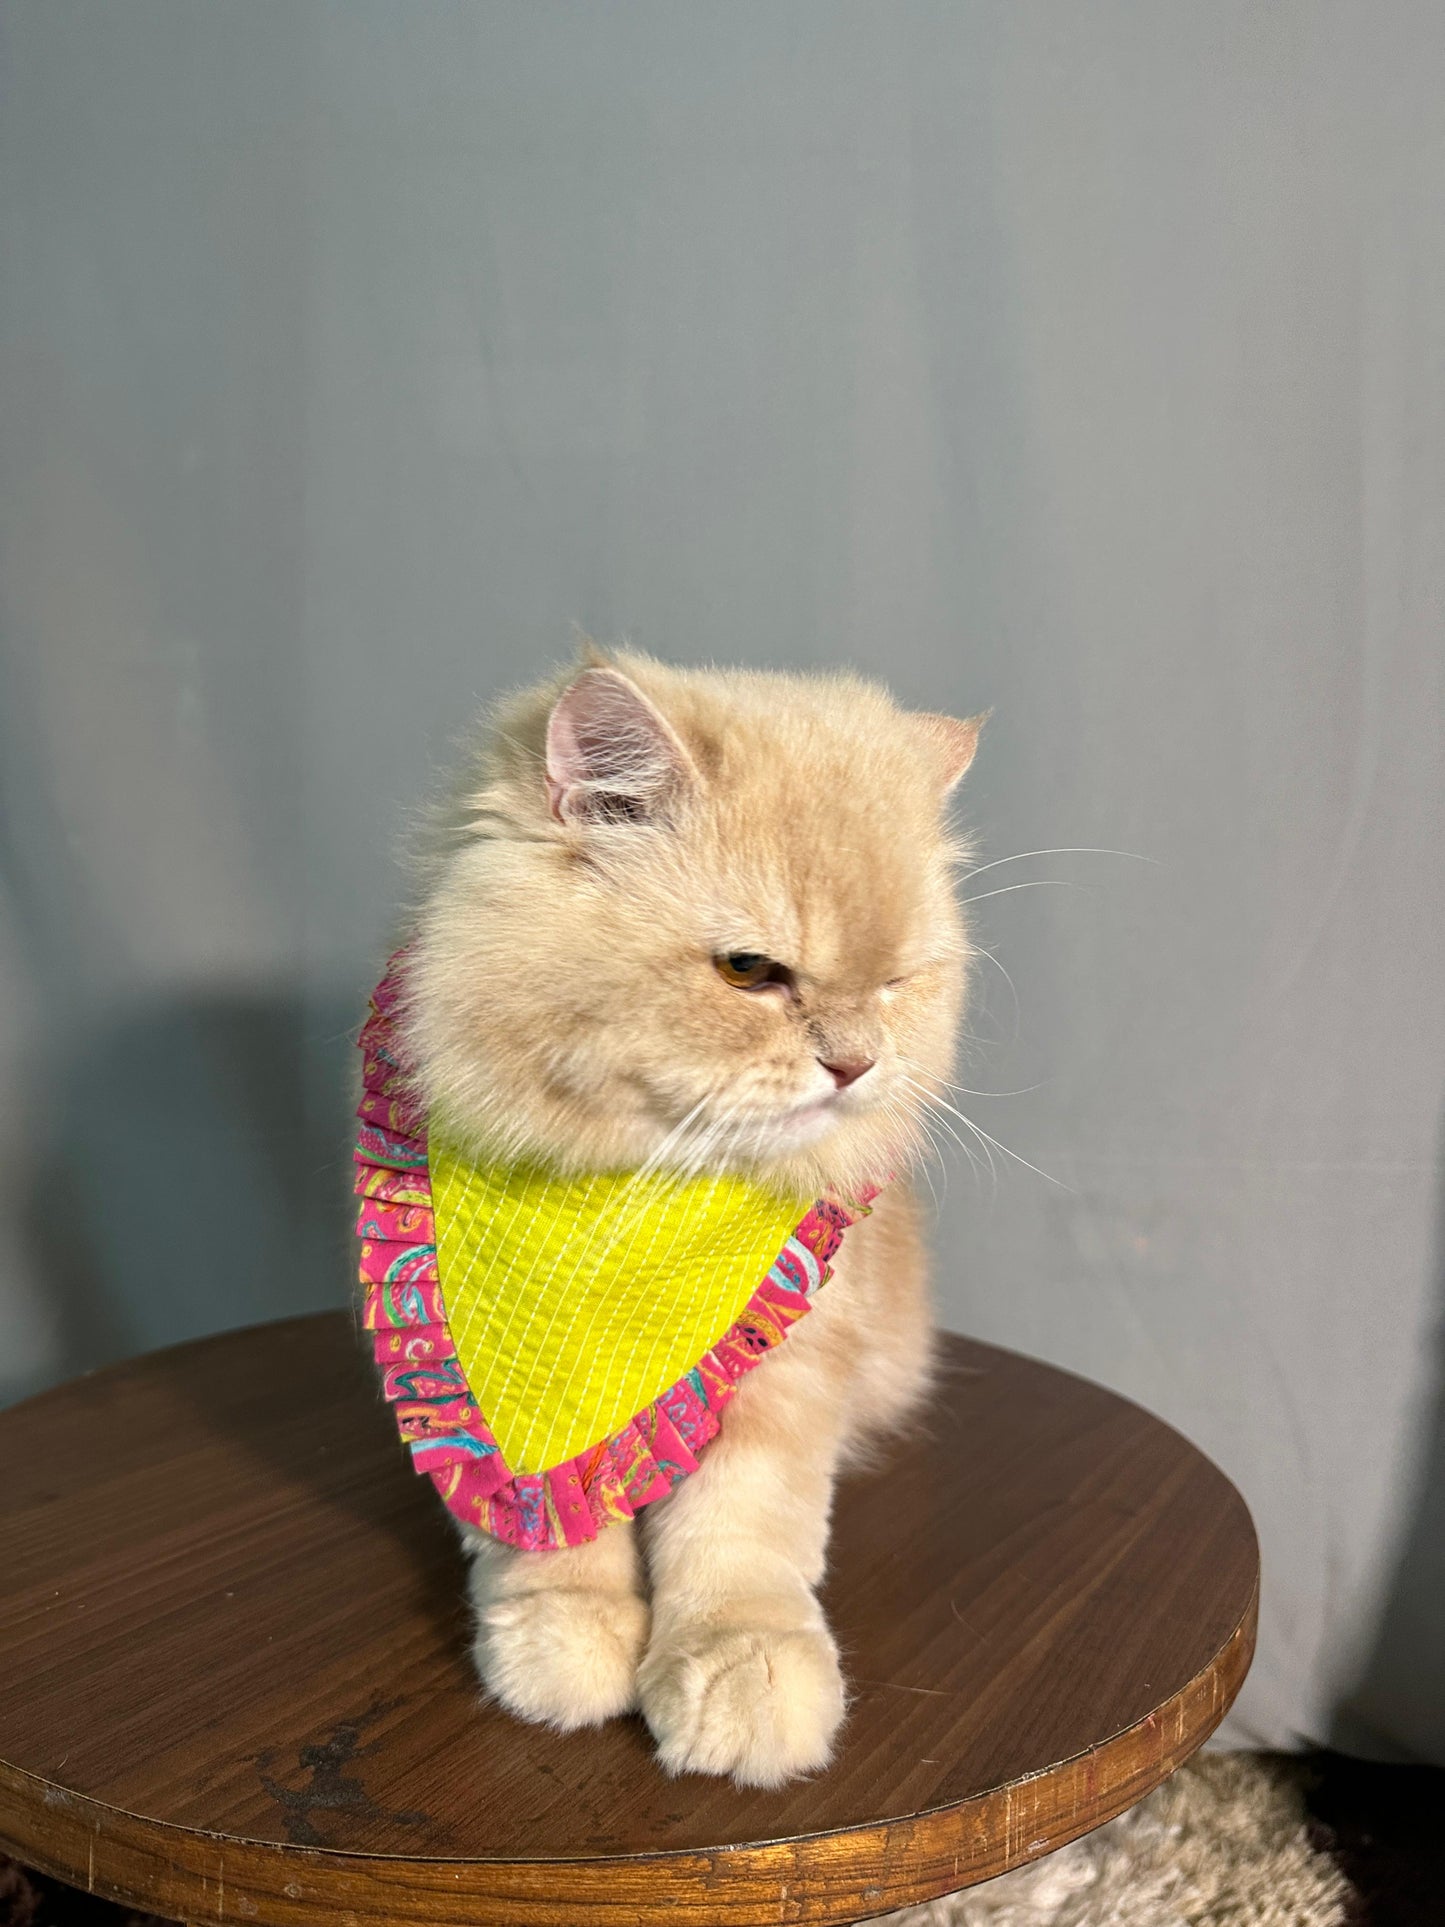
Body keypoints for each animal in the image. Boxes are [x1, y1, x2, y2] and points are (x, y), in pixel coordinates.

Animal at [402, 651, 978, 1788]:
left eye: (895, 983)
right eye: (749, 971)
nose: (855, 1064)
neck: (634, 1183)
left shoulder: (782, 1373)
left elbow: (738, 1545)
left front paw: (738, 1678)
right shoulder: (492, 1378)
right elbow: (543, 1538)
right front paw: (561, 1650)